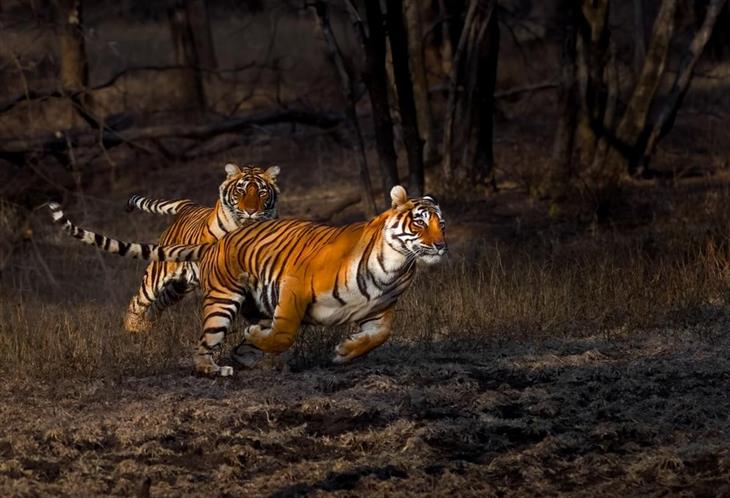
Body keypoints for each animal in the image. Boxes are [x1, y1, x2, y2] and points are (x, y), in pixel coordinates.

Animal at [48, 185, 444, 376]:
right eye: (419, 222)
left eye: (442, 222)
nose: (441, 244)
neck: (394, 267)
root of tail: (215, 242)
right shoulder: (295, 285)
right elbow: (284, 333)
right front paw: (258, 341)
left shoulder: (382, 309)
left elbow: (380, 335)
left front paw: (345, 352)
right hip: (218, 299)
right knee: (200, 345)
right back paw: (217, 366)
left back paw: (246, 353)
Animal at [119, 164, 278, 334]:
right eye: (240, 190)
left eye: (262, 193)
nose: (251, 211)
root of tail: (188, 205)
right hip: (158, 273)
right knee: (139, 300)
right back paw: (132, 329)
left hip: (178, 288)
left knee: (159, 303)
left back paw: (148, 327)